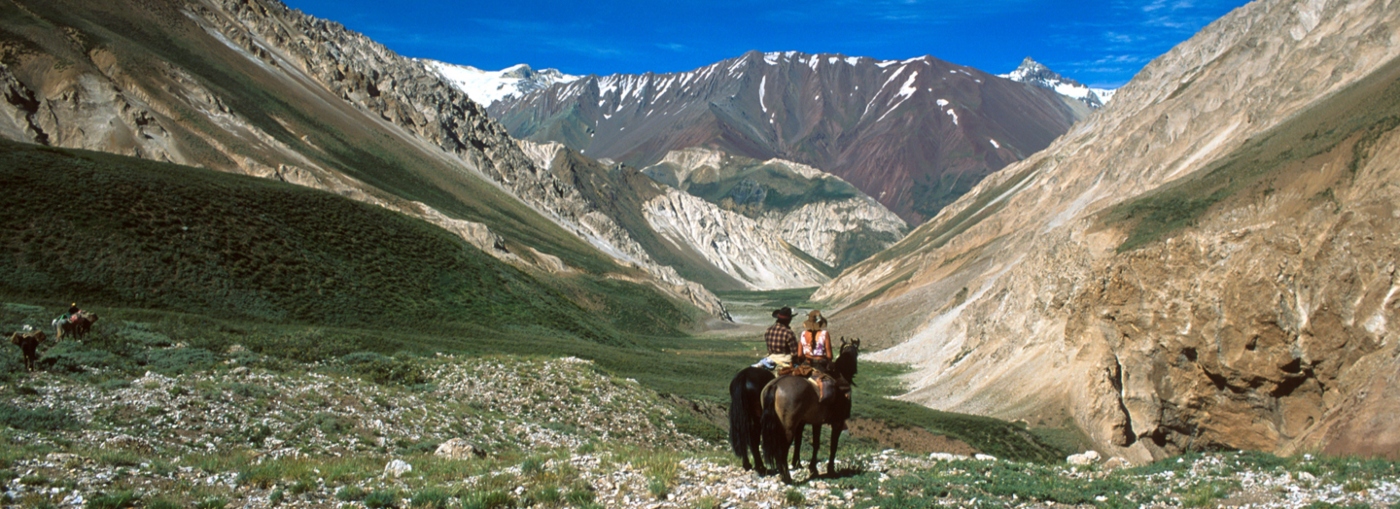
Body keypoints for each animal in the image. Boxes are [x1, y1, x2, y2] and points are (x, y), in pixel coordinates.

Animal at [761, 339, 856, 483]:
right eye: (856, 354)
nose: (855, 370)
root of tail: (775, 385)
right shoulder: (838, 423)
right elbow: (833, 445)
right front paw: (831, 470)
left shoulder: (815, 422)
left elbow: (814, 443)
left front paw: (812, 469)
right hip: (788, 428)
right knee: (782, 449)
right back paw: (787, 477)